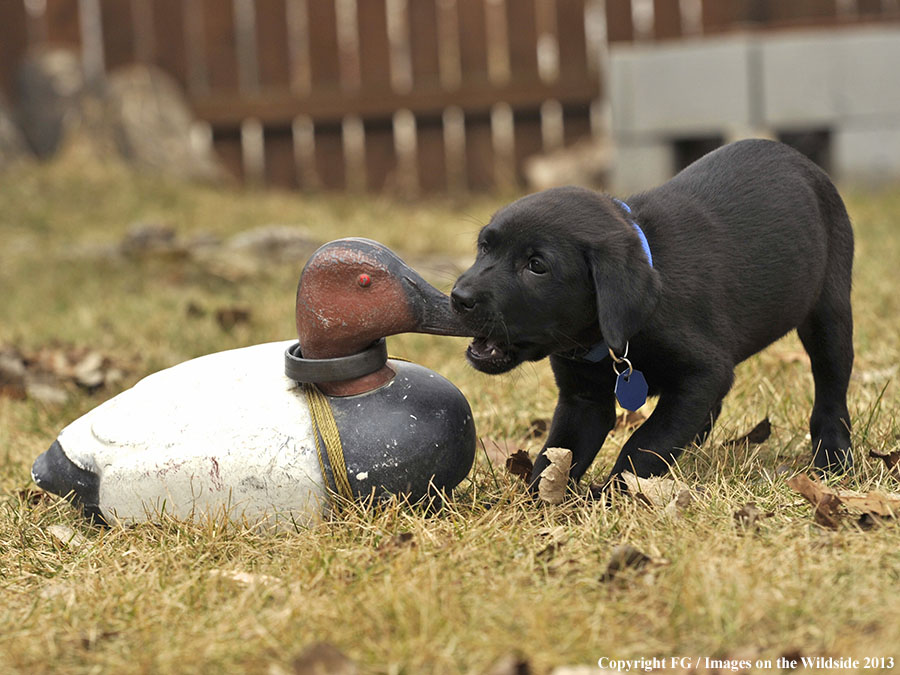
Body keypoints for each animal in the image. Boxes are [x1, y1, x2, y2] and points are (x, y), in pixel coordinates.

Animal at [454, 140, 856, 488]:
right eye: (484, 247)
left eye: (537, 266)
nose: (459, 297)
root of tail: (800, 159)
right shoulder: (583, 399)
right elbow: (560, 450)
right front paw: (539, 500)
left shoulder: (702, 375)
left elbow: (646, 444)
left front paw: (614, 493)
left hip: (830, 314)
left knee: (831, 390)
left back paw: (833, 457)